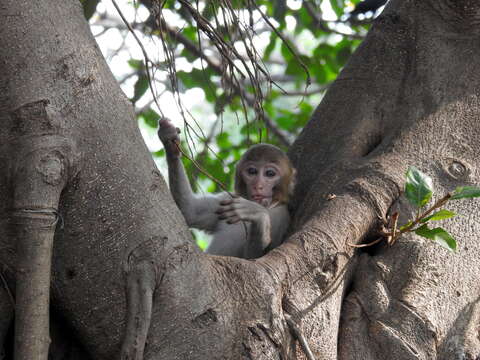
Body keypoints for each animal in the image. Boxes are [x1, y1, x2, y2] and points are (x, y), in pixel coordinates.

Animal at [158, 119, 294, 258]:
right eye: (252, 171)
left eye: (270, 173)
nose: (258, 185)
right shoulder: (228, 197)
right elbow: (189, 210)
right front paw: (170, 140)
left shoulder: (281, 215)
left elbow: (254, 259)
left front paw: (256, 213)